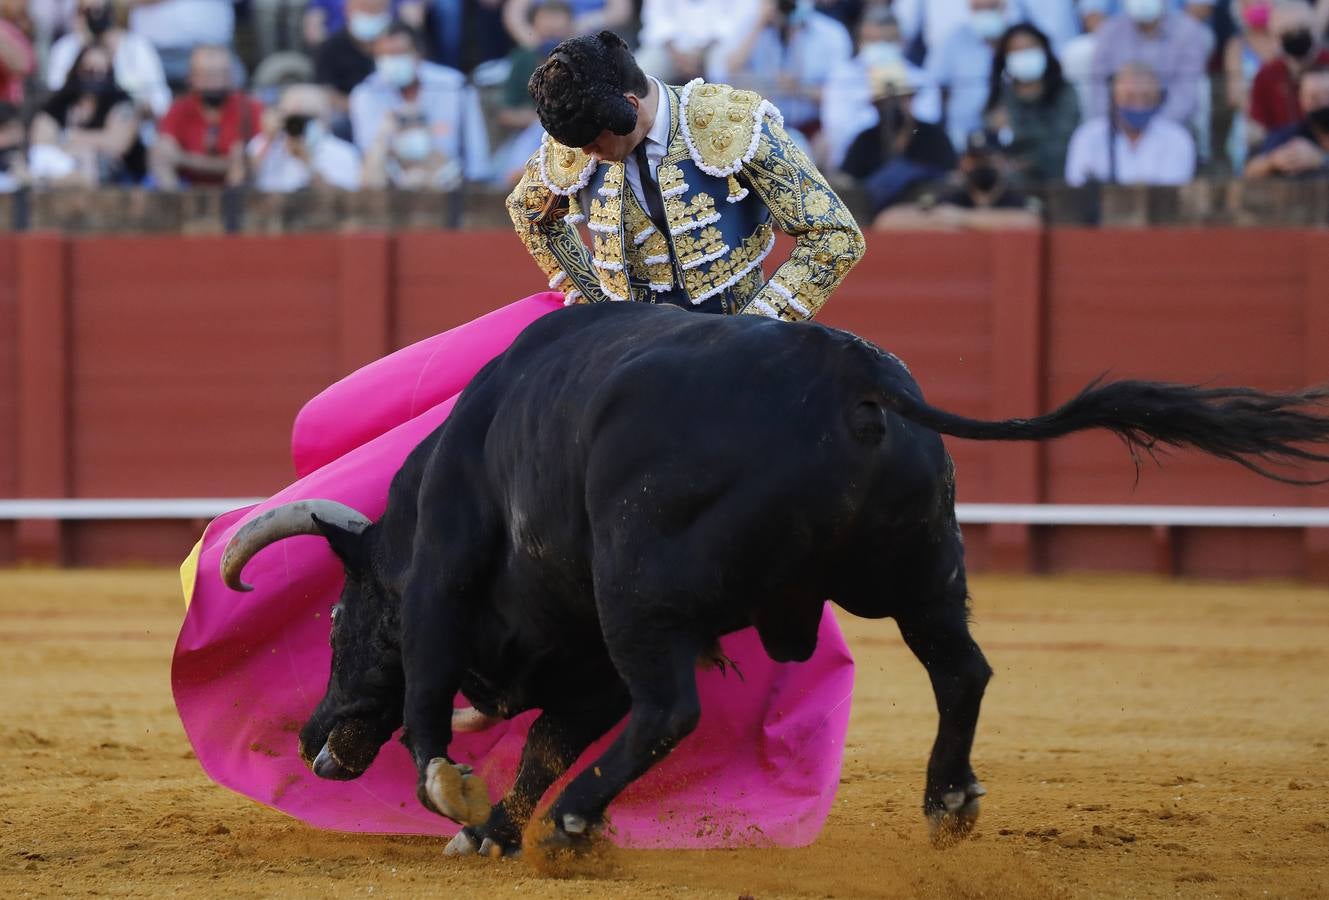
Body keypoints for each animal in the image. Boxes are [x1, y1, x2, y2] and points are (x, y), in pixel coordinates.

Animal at [217, 301, 1329, 856]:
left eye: (339, 623)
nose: (314, 739)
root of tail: (853, 376)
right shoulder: (587, 661)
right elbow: (546, 741)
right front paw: (495, 832)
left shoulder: (457, 584)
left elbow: (439, 704)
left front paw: (467, 805)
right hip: (920, 568)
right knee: (961, 670)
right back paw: (947, 803)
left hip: (642, 590)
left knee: (673, 710)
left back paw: (580, 824)